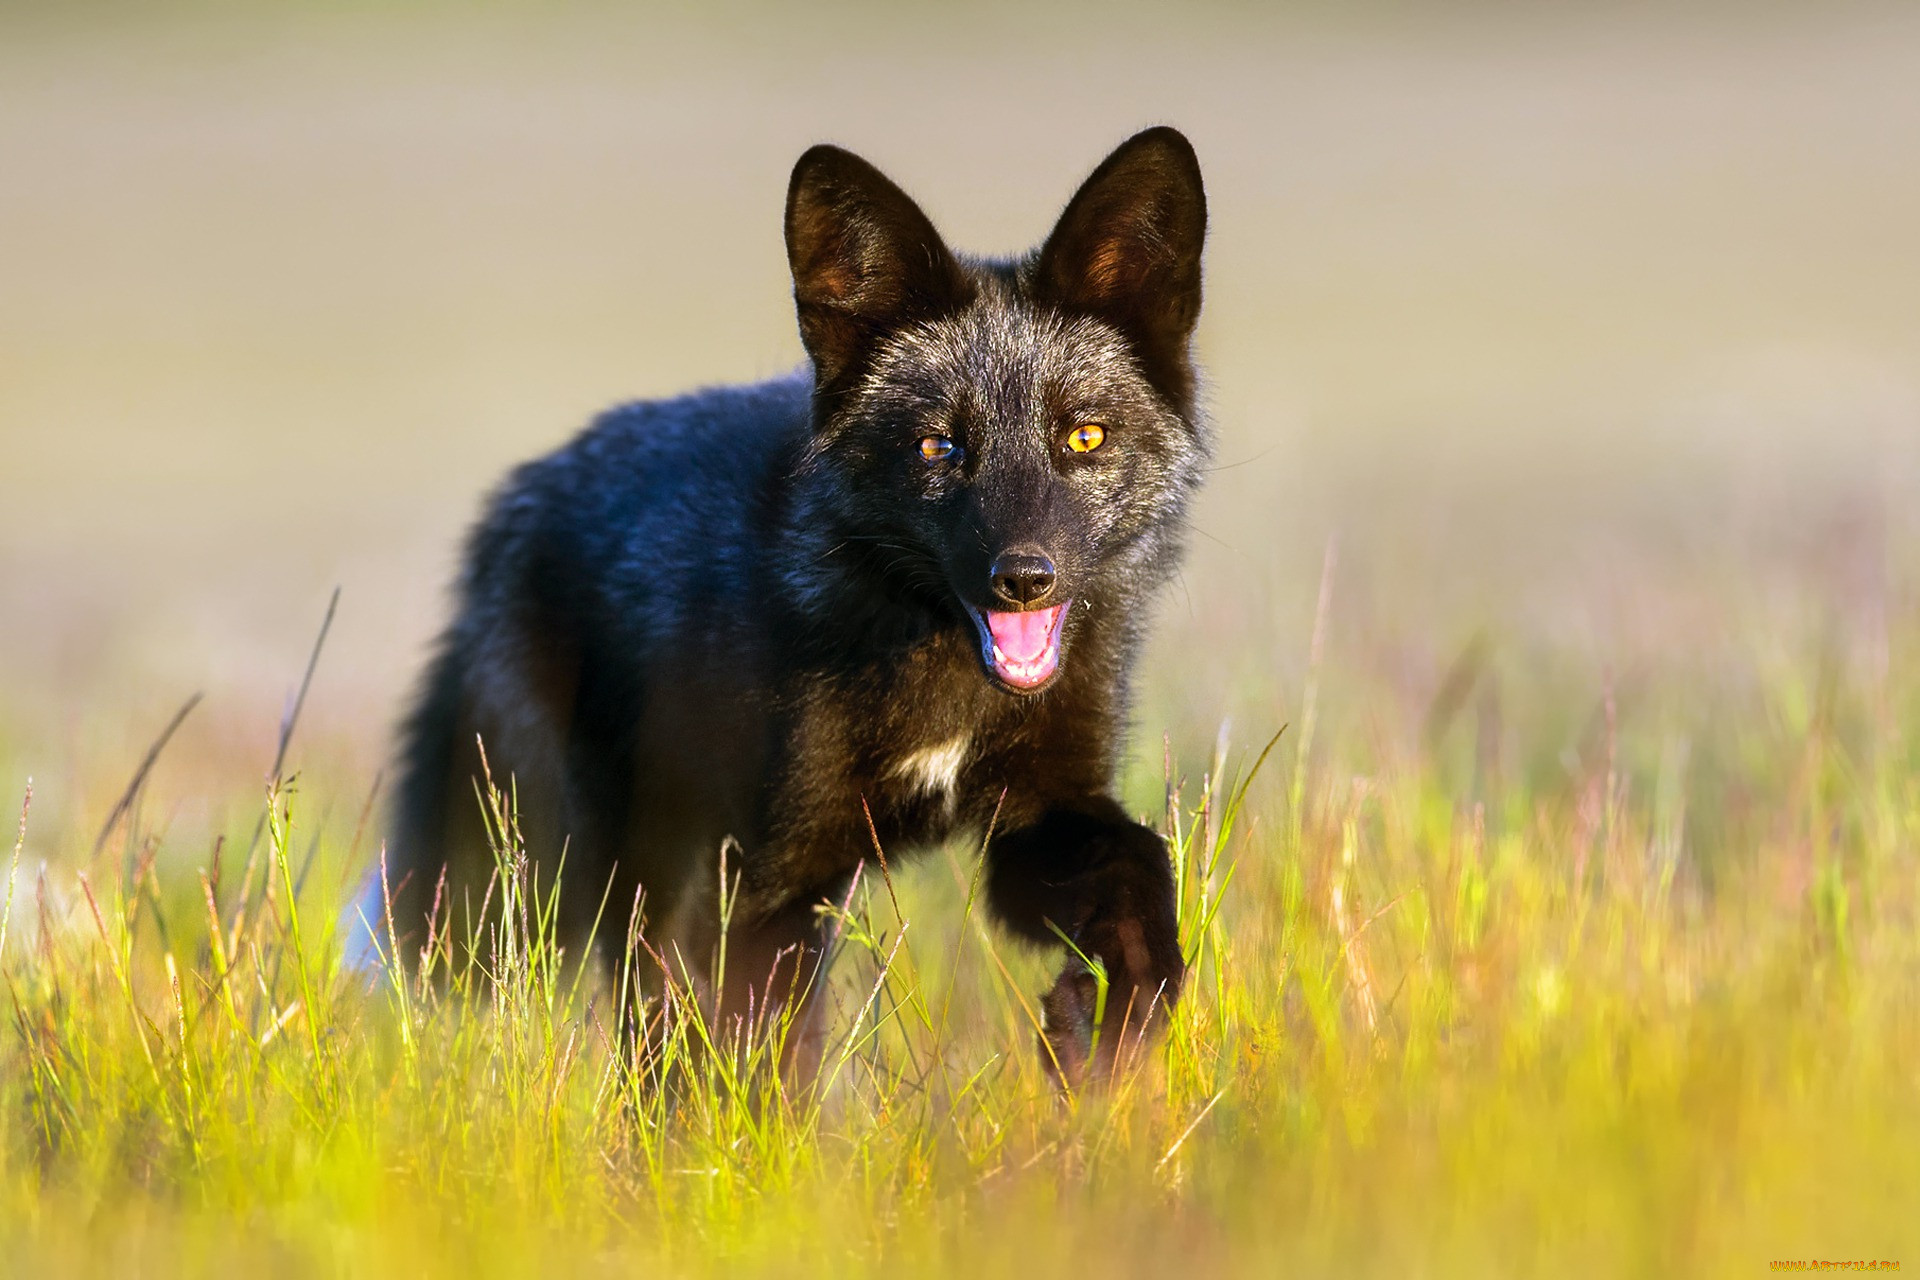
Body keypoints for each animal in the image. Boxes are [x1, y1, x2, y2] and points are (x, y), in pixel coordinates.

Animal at [374, 127, 1205, 1082]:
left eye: (1085, 436)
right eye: (939, 447)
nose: (1024, 579)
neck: (942, 684)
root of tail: (508, 510)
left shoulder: (1039, 810)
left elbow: (1142, 871)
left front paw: (1109, 1030)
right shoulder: (776, 874)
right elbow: (762, 1055)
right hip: (594, 870)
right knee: (639, 1012)